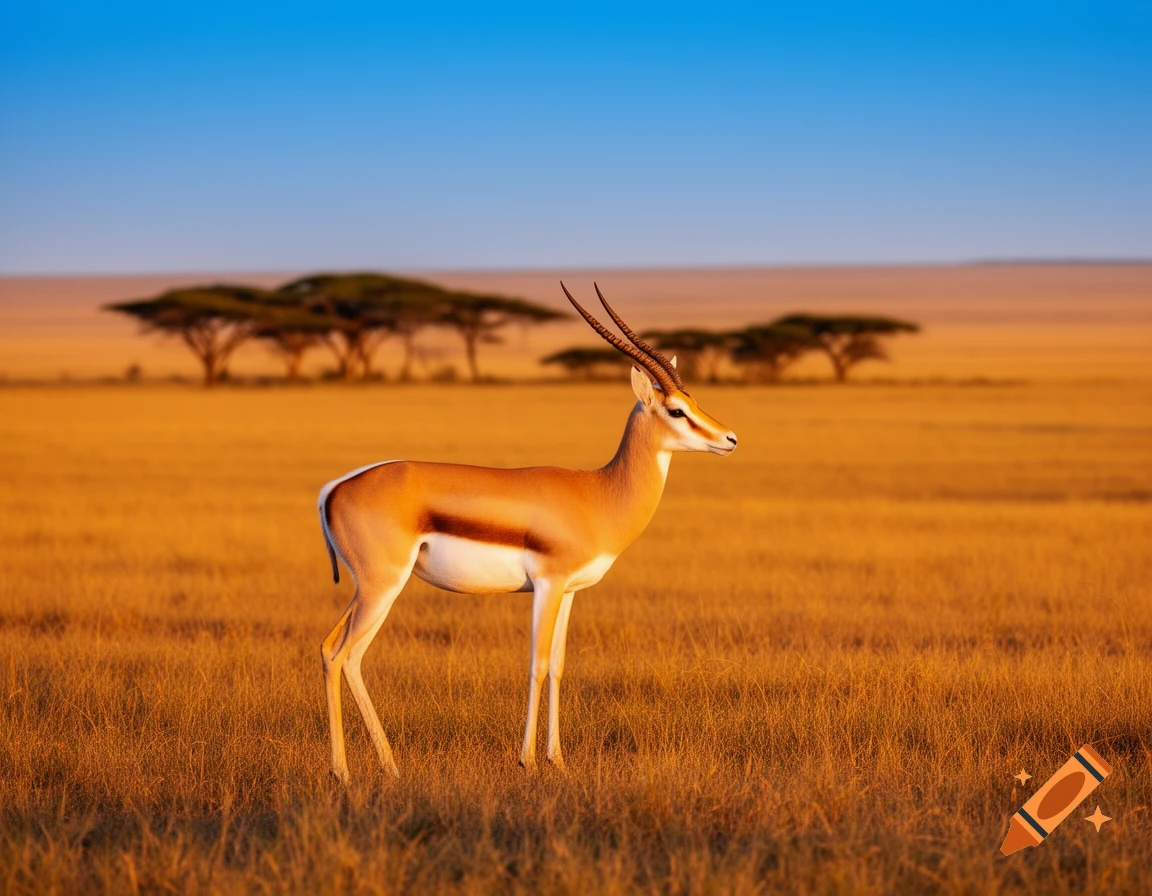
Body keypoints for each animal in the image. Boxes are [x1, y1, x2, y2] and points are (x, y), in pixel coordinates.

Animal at [318, 283, 737, 782]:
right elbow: (535, 665)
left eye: (693, 403)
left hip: (368, 588)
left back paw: (377, 767)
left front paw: (558, 759)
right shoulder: (547, 586)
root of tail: (335, 487)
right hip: (382, 588)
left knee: (330, 649)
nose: (730, 438)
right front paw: (528, 761)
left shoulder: (570, 591)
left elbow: (557, 666)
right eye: (676, 410)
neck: (598, 493)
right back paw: (352, 772)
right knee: (347, 656)